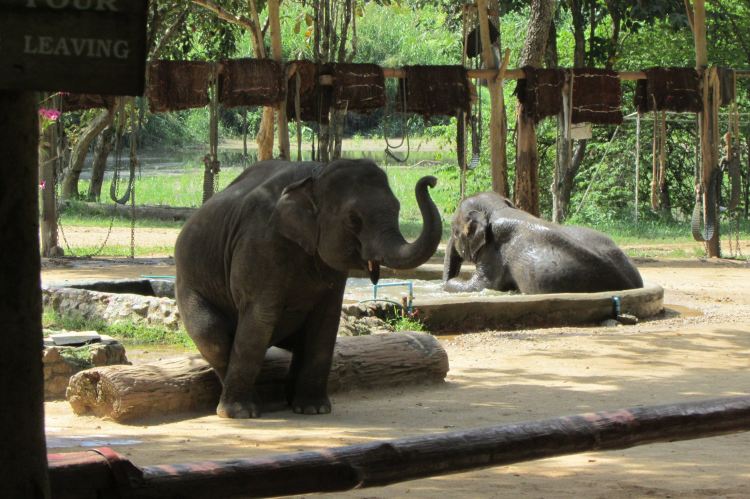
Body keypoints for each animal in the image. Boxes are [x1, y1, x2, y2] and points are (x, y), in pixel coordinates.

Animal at [175, 159, 441, 418]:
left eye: (397, 208)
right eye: (353, 219)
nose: (431, 181)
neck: (317, 172)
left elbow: (325, 322)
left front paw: (314, 410)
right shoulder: (258, 244)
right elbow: (259, 318)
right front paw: (241, 414)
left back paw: (289, 400)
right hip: (189, 284)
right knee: (212, 336)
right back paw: (248, 404)